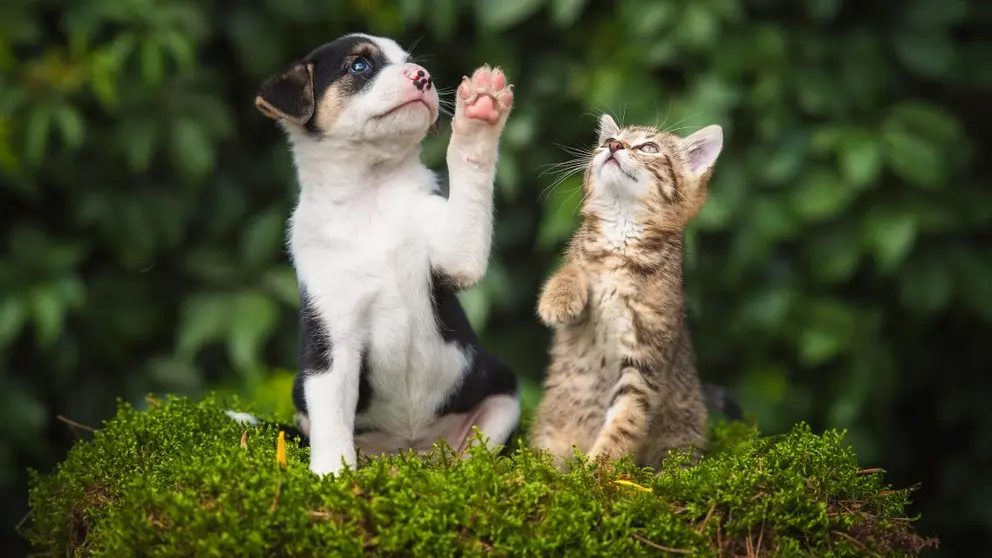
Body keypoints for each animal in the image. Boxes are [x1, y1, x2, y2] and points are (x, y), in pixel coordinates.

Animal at [226, 34, 520, 476]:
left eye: (410, 62)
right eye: (360, 66)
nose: (423, 77)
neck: (372, 192)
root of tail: (409, 452)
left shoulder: (455, 256)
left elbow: (469, 167)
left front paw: (479, 112)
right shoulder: (332, 342)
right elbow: (332, 421)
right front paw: (332, 475)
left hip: (502, 396)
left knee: (473, 452)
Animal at [532, 114, 724, 472]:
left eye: (648, 148)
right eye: (608, 141)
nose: (613, 145)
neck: (621, 235)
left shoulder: (645, 359)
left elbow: (625, 421)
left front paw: (596, 469)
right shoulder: (581, 280)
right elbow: (571, 270)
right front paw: (557, 300)